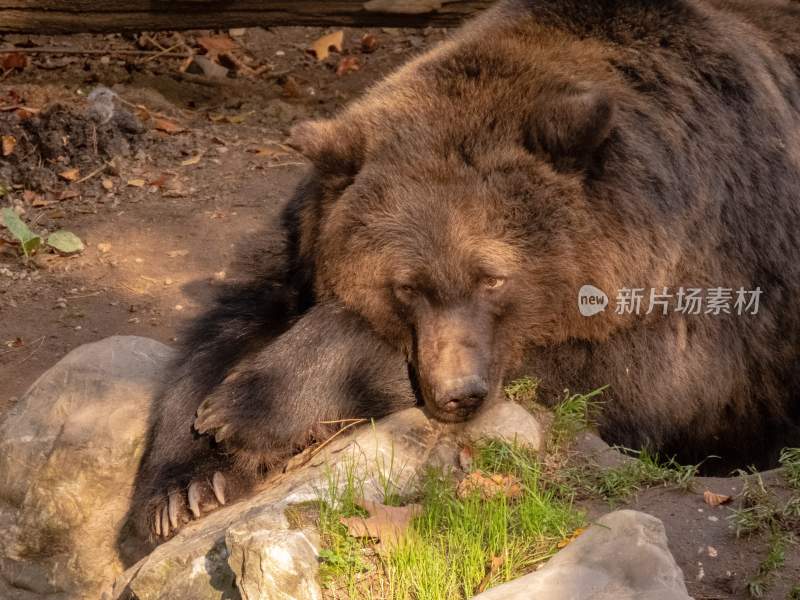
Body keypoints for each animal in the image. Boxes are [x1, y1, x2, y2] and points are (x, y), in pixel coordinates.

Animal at [130, 0, 800, 544]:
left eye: (493, 278)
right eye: (406, 286)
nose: (460, 394)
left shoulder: (699, 284)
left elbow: (624, 379)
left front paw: (246, 407)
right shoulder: (306, 241)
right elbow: (237, 316)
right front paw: (185, 484)